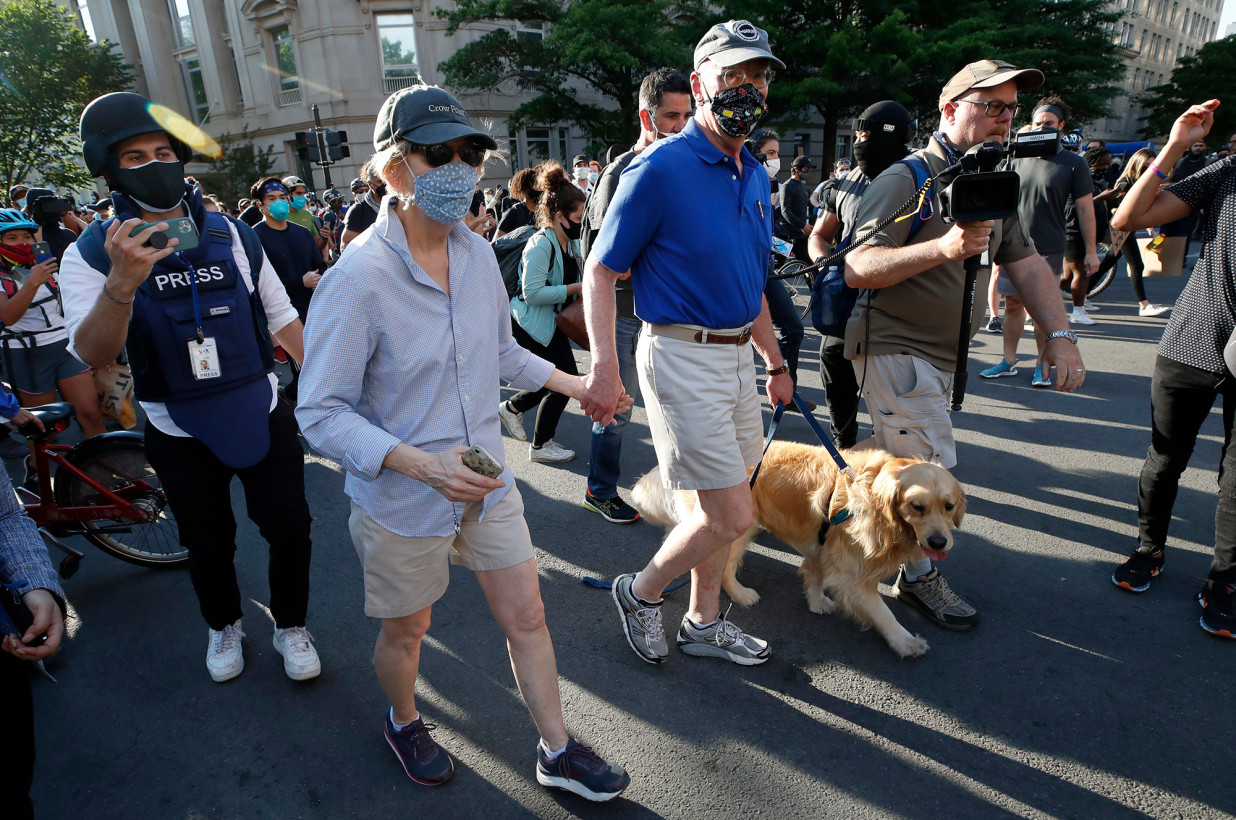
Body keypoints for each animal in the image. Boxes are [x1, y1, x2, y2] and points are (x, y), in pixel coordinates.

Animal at [637, 442, 964, 662]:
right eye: (917, 506)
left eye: (949, 506)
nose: (938, 542)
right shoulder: (851, 576)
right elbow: (883, 614)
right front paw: (906, 643)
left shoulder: (822, 544)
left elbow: (816, 575)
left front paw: (817, 601)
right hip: (735, 525)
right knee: (723, 568)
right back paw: (741, 594)